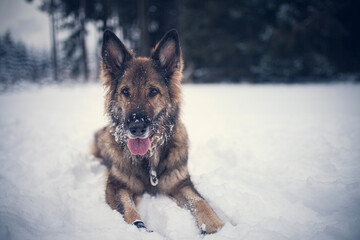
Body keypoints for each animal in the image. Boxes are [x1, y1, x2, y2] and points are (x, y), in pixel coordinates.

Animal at [91, 29, 224, 233]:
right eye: (125, 91)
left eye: (153, 91)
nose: (136, 127)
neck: (149, 158)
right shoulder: (116, 186)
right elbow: (129, 211)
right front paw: (140, 229)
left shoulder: (181, 183)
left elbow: (200, 202)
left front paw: (215, 227)